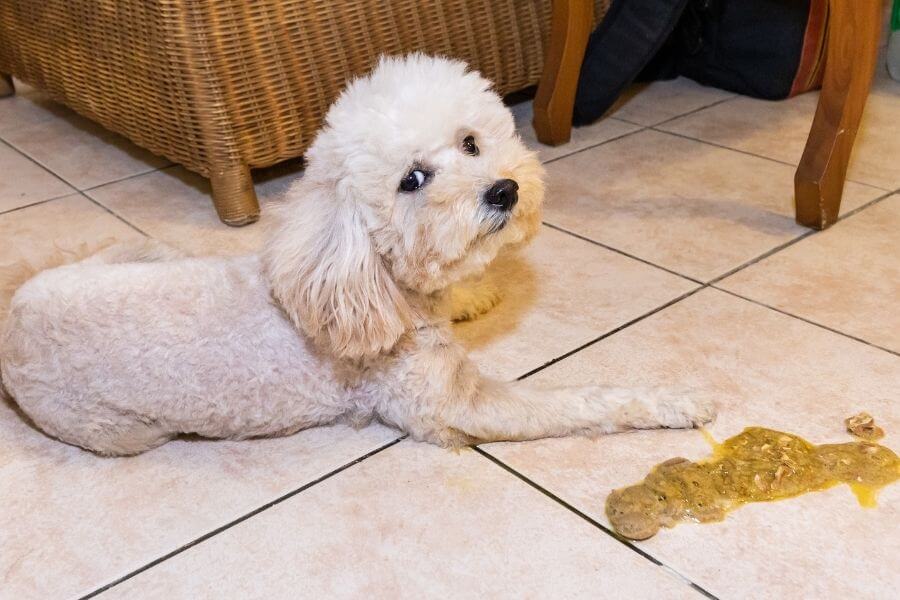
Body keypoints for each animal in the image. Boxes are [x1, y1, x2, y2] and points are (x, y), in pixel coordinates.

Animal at [0, 55, 716, 454]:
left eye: (471, 142)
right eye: (412, 180)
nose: (505, 190)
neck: (376, 284)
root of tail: (13, 318)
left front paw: (476, 293)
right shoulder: (454, 405)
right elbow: (583, 400)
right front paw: (675, 401)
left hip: (135, 251)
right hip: (118, 433)